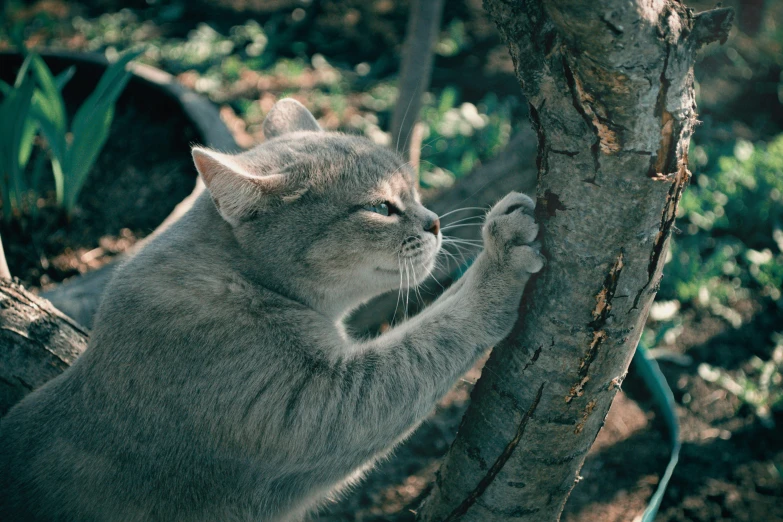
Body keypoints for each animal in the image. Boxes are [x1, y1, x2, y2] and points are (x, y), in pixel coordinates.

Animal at [0, 99, 544, 516]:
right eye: (381, 208)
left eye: (412, 192)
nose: (434, 222)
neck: (238, 277)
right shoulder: (325, 405)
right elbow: (434, 331)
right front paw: (498, 259)